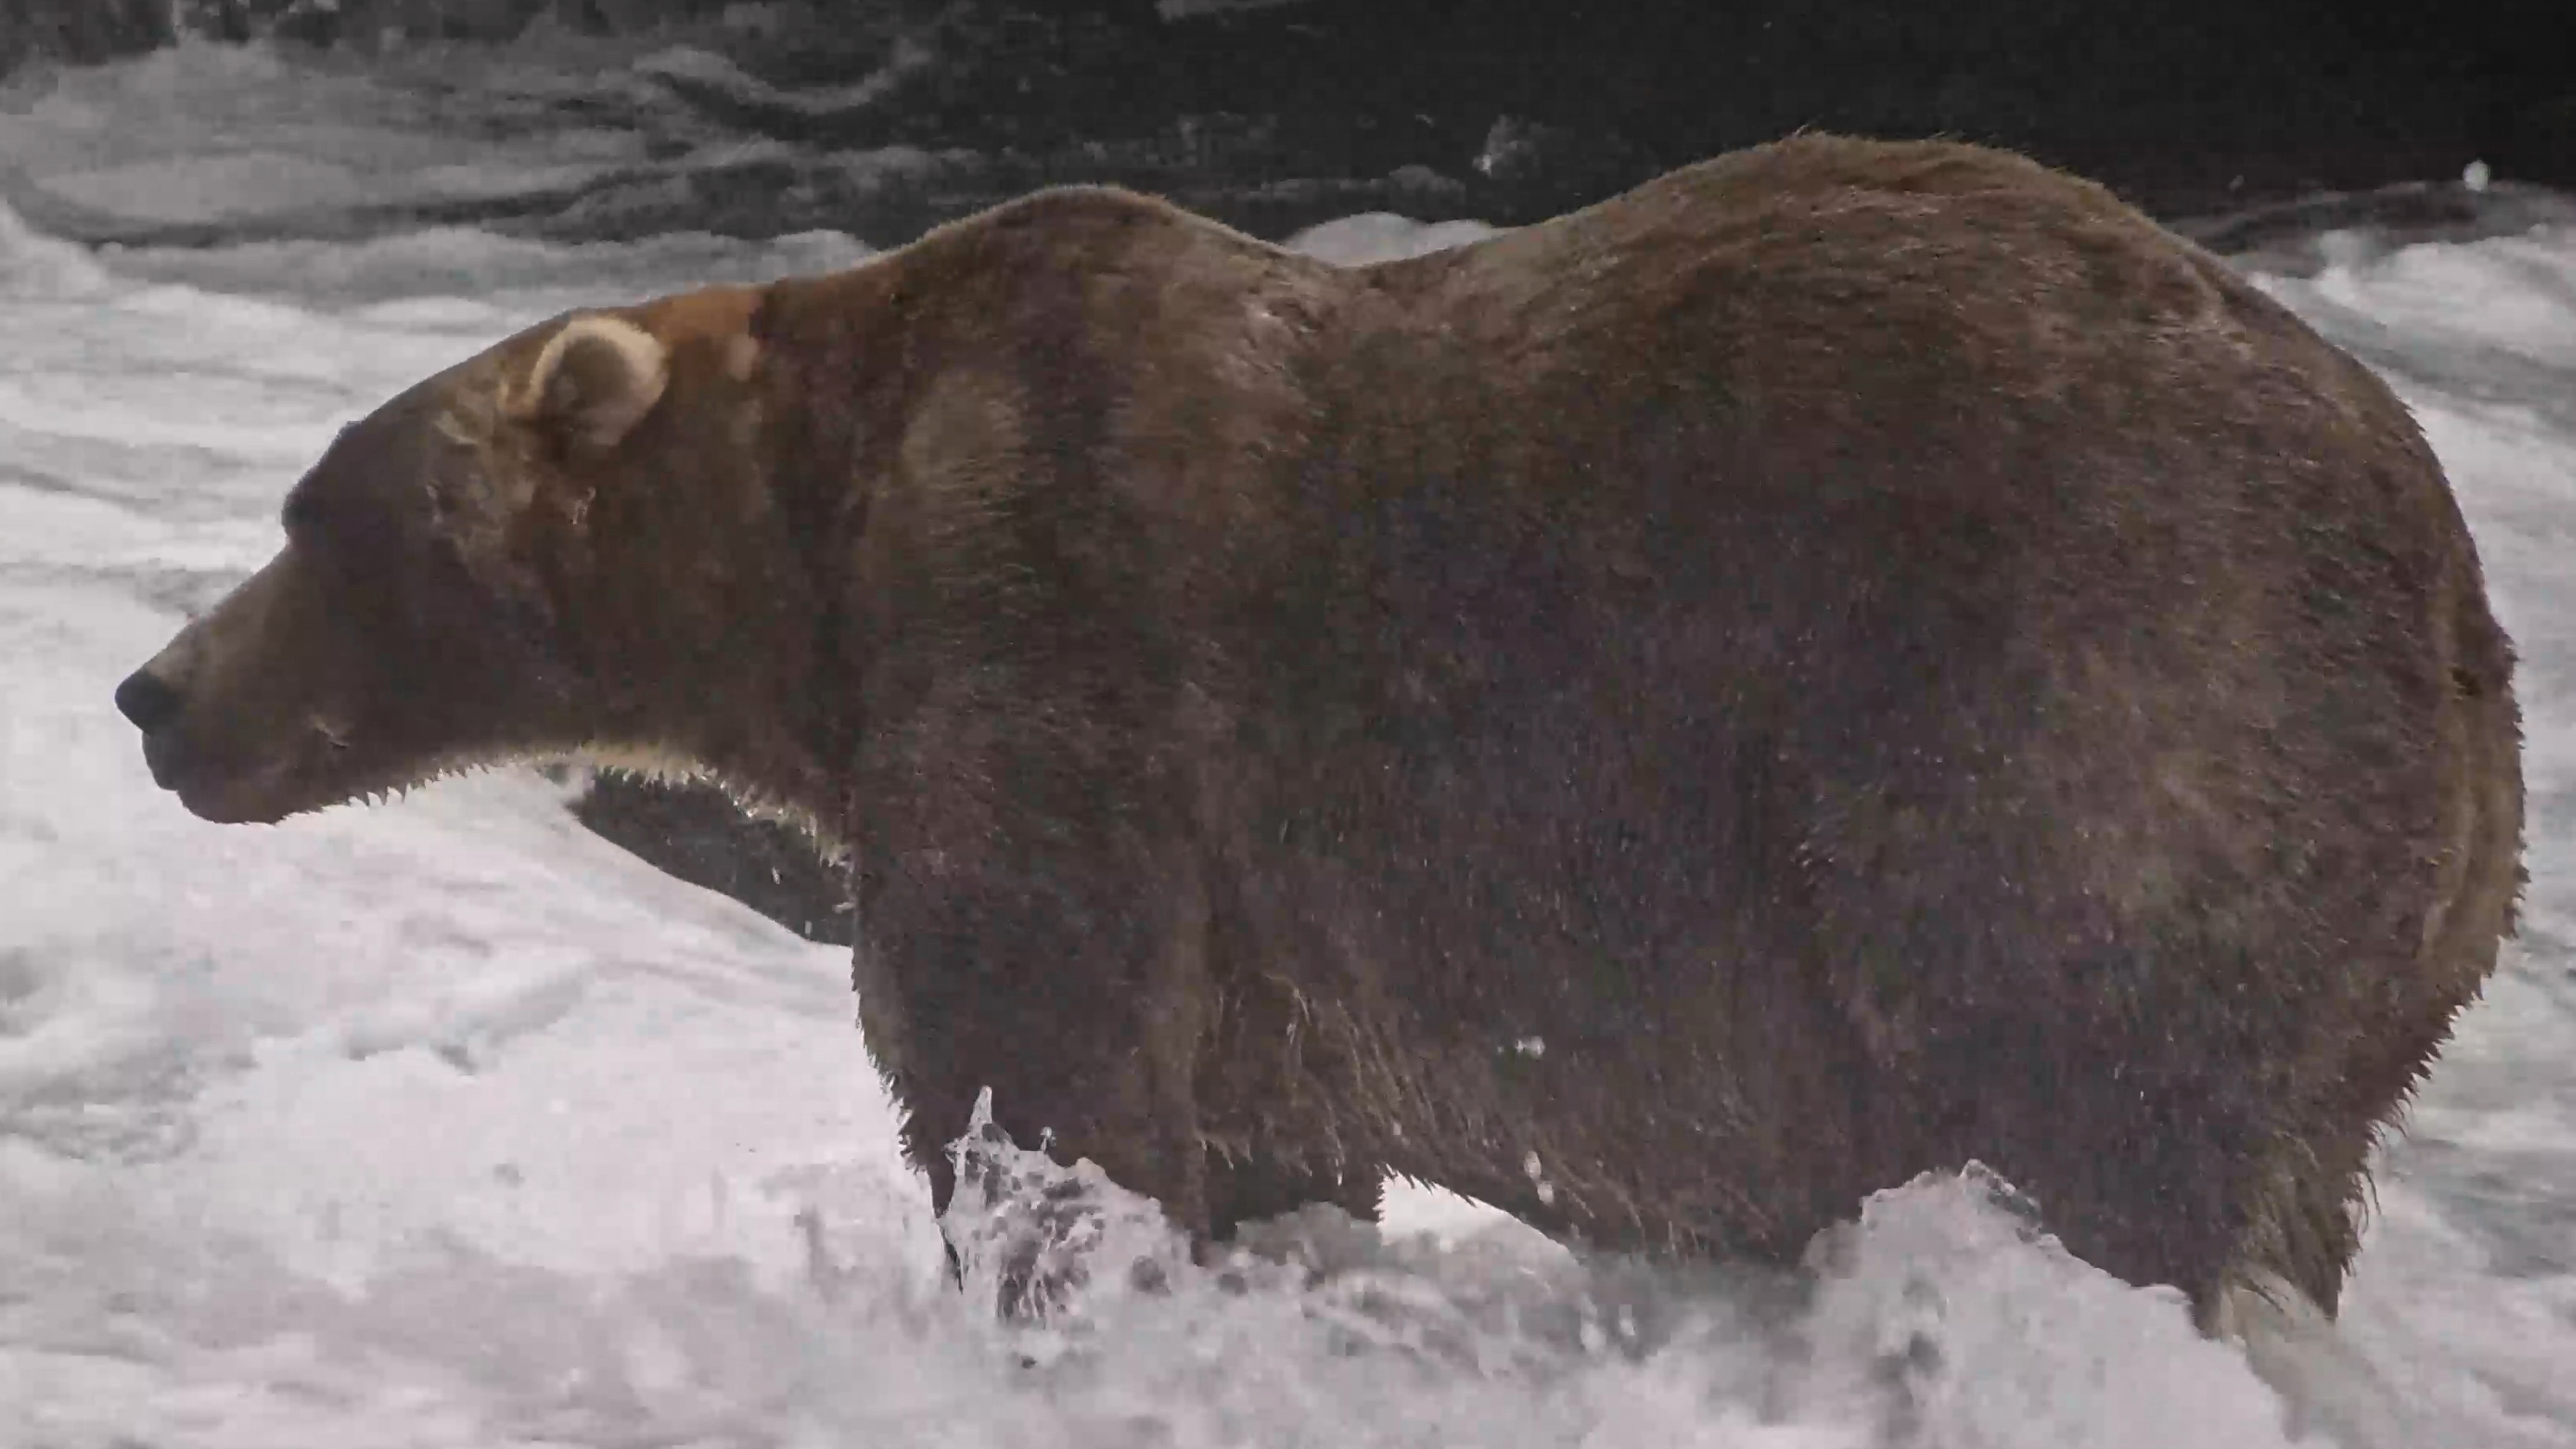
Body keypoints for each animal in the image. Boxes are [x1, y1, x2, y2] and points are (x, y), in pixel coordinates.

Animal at [114, 133, 2524, 1331]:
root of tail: (2450, 578)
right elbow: (1257, 1128)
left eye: (317, 513)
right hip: (2391, 918)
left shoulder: (1053, 638)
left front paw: (1048, 1289)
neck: (814, 559)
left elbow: (1033, 1064)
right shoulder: (1264, 913)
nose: (154, 695)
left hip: (2078, 700)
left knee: (2081, 1088)